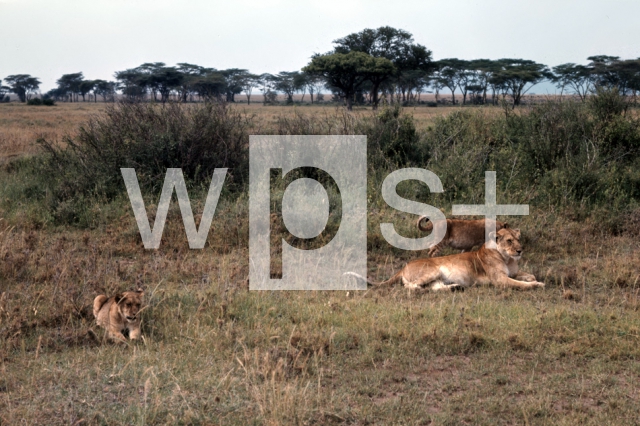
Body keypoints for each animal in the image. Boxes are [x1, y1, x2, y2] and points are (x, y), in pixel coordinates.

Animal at [348, 228, 544, 292]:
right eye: (509, 240)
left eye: (518, 239)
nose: (520, 250)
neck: (507, 258)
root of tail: (404, 266)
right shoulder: (500, 280)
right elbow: (522, 284)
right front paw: (537, 285)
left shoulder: (513, 272)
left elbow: (528, 275)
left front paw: (533, 279)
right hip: (432, 270)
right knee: (411, 285)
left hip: (437, 277)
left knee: (435, 287)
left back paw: (455, 287)